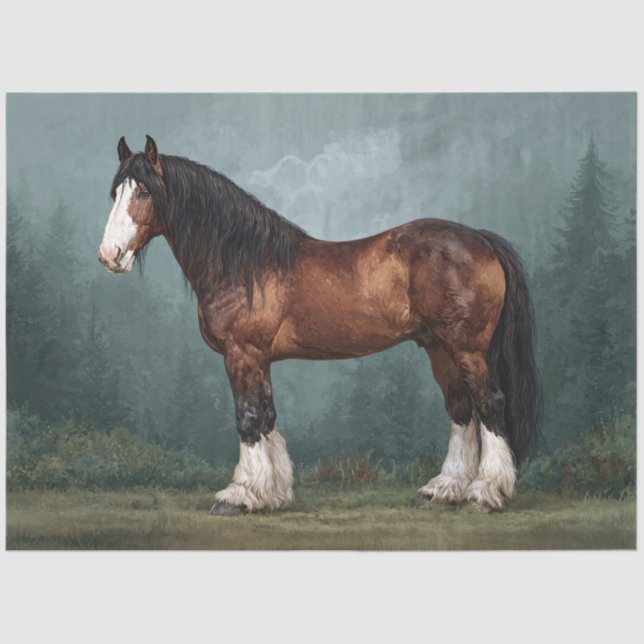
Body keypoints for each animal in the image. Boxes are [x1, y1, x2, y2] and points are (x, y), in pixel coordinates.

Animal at [99, 135, 541, 515]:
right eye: (115, 193)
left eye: (144, 192)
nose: (109, 255)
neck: (245, 262)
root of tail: (479, 239)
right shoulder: (261, 359)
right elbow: (267, 416)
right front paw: (272, 494)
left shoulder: (242, 354)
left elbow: (248, 417)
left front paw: (239, 495)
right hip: (439, 348)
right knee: (461, 410)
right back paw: (445, 489)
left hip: (467, 348)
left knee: (490, 404)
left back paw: (484, 493)